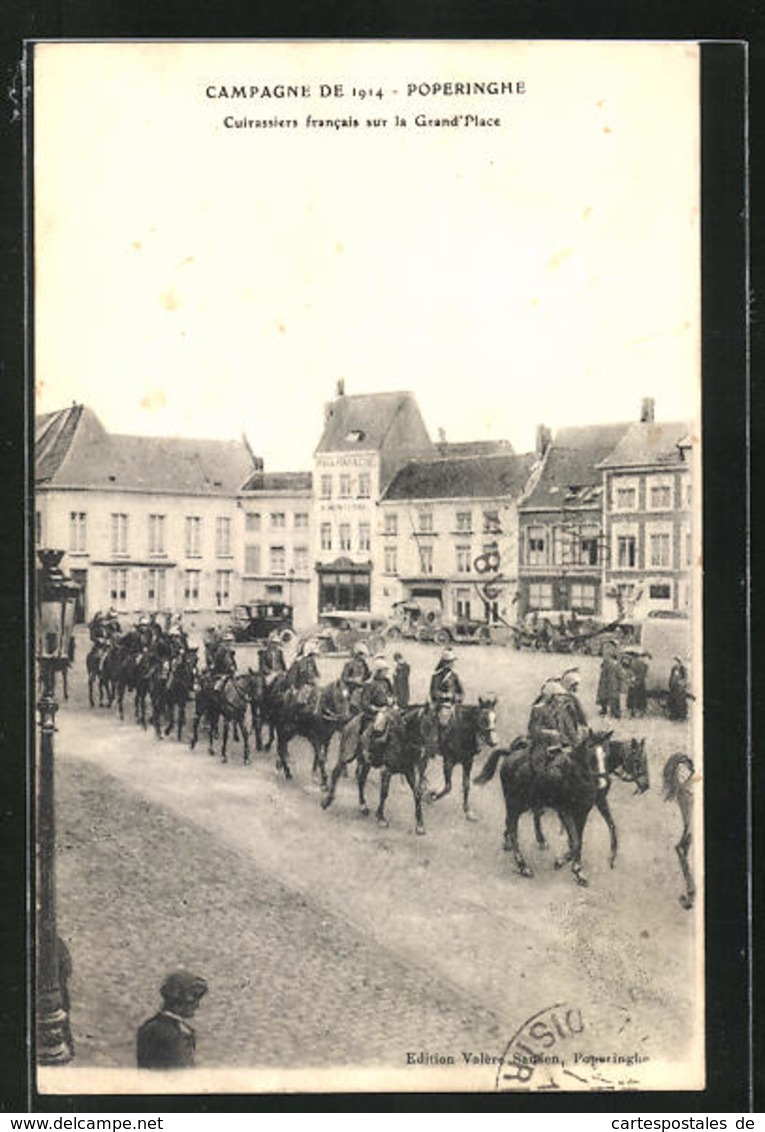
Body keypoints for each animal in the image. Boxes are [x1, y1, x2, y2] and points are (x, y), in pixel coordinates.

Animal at [321, 701, 430, 837]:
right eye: (429, 723)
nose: (425, 753)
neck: (402, 736)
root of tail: (351, 719)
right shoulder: (386, 770)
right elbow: (384, 792)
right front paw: (381, 818)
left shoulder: (409, 771)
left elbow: (417, 793)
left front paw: (420, 825)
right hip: (346, 754)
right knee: (336, 773)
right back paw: (327, 801)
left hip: (366, 762)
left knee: (361, 780)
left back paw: (363, 806)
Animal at [475, 729, 647, 887]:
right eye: (637, 760)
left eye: (606, 753)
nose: (646, 785)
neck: (576, 775)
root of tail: (510, 755)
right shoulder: (565, 812)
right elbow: (576, 841)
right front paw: (569, 865)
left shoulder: (584, 812)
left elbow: (581, 839)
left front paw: (575, 867)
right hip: (515, 803)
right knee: (513, 828)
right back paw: (523, 866)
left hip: (527, 803)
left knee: (516, 821)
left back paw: (521, 844)